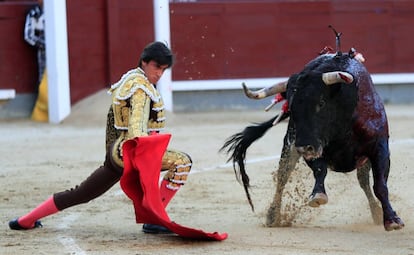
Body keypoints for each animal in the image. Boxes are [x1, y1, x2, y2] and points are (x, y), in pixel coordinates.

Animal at [220, 29, 404, 231]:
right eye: (291, 107)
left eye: (321, 103)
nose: (303, 147)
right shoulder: (310, 145)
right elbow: (320, 170)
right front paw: (318, 196)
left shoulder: (379, 147)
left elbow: (380, 185)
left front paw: (392, 219)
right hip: (289, 147)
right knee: (282, 177)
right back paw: (273, 215)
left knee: (363, 182)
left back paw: (376, 212)